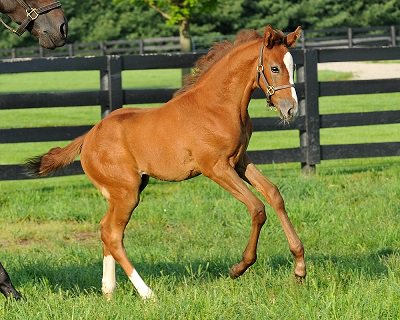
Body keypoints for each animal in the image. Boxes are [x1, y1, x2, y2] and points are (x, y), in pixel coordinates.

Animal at [25, 26, 306, 298]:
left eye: (292, 66)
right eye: (274, 68)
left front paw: (300, 267)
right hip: (126, 193)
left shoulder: (239, 160)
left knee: (106, 230)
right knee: (113, 235)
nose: (290, 109)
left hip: (125, 191)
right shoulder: (216, 168)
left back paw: (108, 290)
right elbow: (257, 208)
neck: (217, 106)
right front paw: (239, 267)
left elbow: (274, 194)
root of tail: (88, 137)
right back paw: (147, 293)